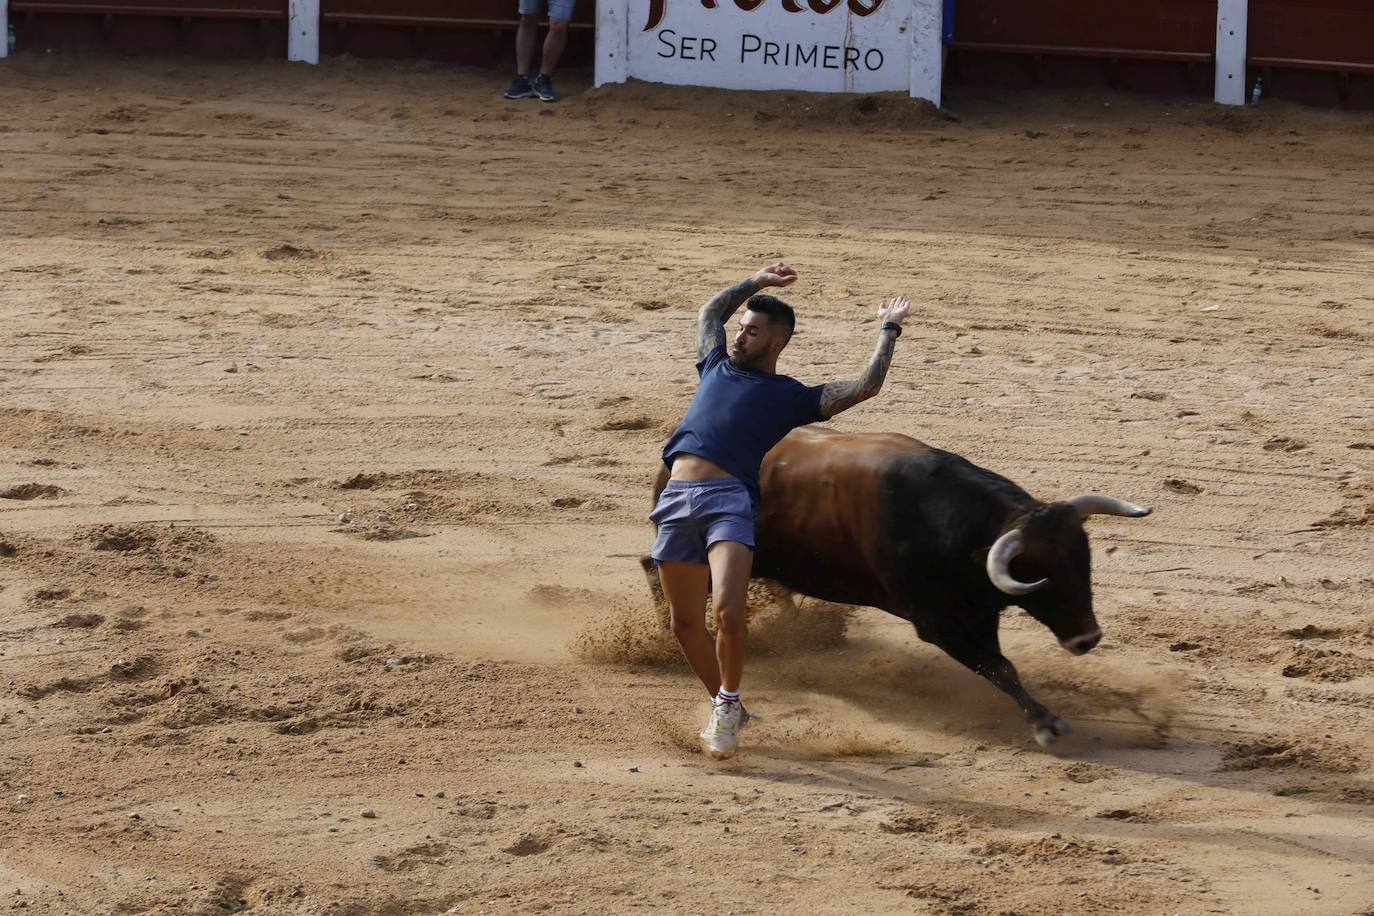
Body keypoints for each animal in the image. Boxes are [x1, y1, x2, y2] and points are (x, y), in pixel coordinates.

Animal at [648, 425, 1154, 747]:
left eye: (1084, 564)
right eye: (1040, 578)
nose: (1088, 638)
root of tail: (676, 454)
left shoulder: (978, 611)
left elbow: (999, 664)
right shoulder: (937, 623)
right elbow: (999, 668)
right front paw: (1045, 723)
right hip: (692, 557)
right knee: (657, 575)